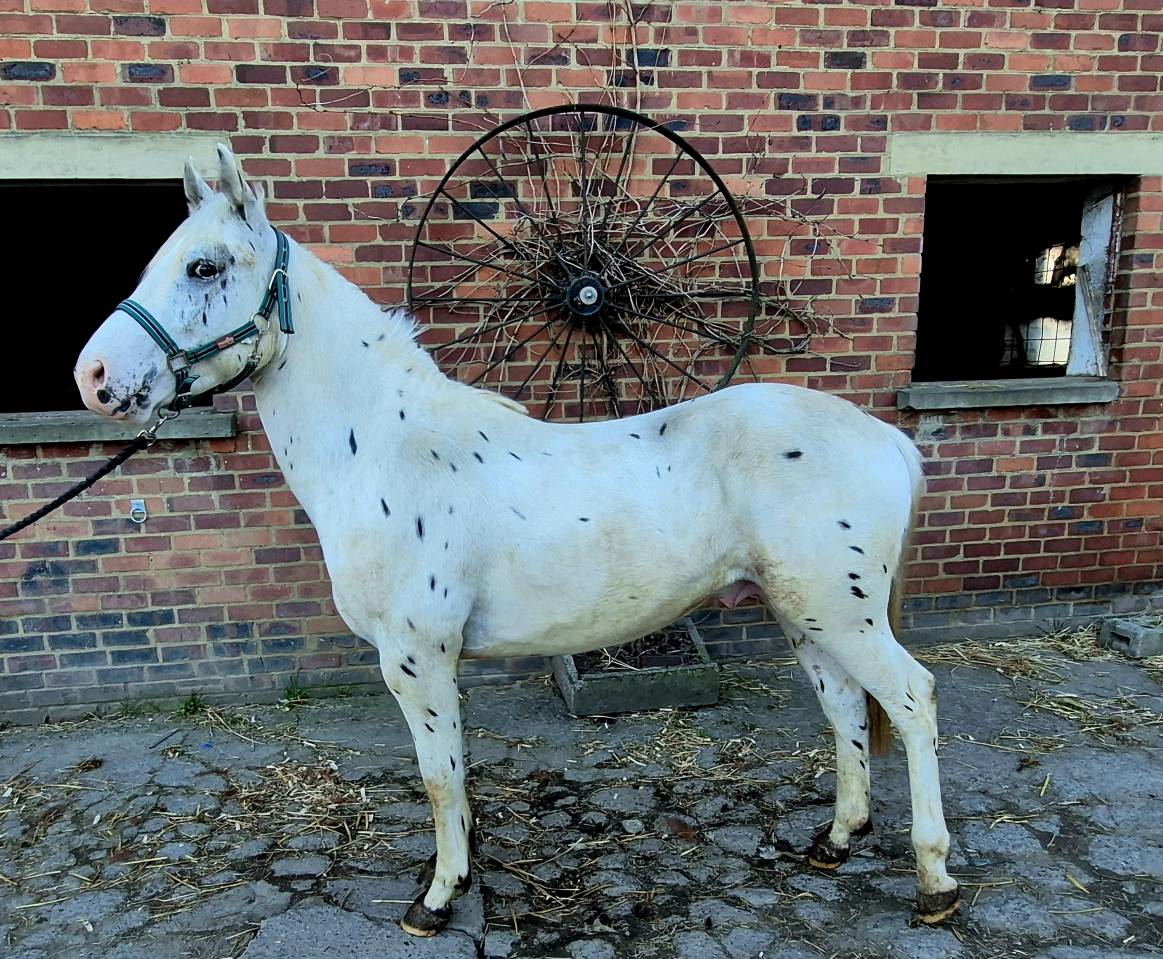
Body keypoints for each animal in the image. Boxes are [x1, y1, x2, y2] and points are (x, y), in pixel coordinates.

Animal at [73, 146, 961, 937]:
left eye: (204, 267)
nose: (94, 378)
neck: (384, 448)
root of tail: (887, 439)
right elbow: (456, 776)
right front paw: (459, 877)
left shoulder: (414, 656)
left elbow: (438, 779)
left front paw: (435, 900)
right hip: (803, 613)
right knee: (844, 706)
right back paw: (835, 840)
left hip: (840, 614)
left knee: (910, 699)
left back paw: (933, 881)